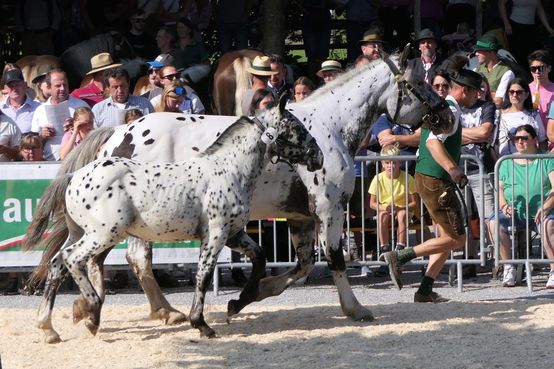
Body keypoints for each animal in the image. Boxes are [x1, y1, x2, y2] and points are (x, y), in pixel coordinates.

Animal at [31, 101, 324, 342]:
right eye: (296, 127)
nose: (318, 156)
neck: (227, 169)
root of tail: (74, 176)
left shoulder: (234, 234)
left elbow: (260, 258)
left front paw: (238, 303)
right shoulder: (215, 235)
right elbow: (203, 276)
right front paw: (202, 324)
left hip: (82, 233)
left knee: (57, 264)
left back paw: (50, 328)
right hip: (103, 235)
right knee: (73, 259)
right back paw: (92, 313)